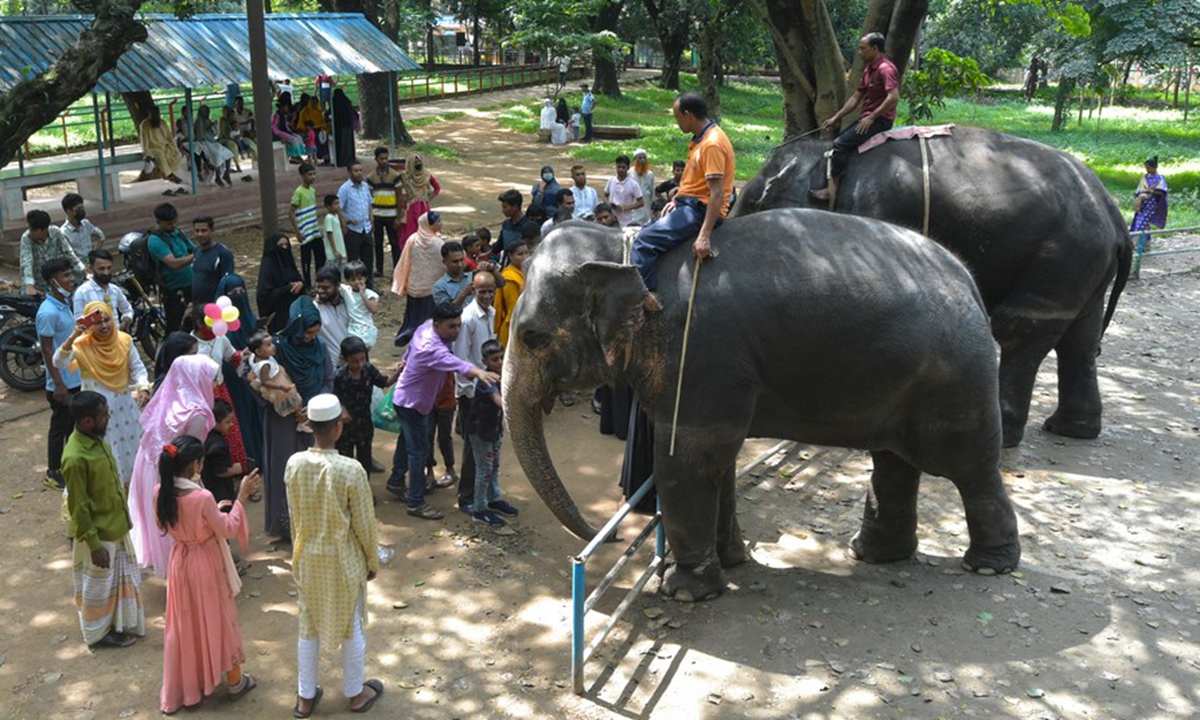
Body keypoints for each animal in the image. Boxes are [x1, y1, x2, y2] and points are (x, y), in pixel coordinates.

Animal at [502, 209, 1021, 602]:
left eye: (533, 337)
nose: (608, 534)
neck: (623, 246)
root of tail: (970, 283)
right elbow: (716, 463)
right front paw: (731, 563)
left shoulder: (699, 355)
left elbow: (684, 461)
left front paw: (682, 591)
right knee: (894, 463)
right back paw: (872, 554)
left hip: (956, 382)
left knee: (967, 467)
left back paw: (988, 567)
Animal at [731, 127, 1133, 447]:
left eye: (752, 202)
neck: (829, 157)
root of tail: (1115, 216)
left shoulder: (875, 208)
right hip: (1084, 269)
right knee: (1080, 339)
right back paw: (1070, 430)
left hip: (1061, 257)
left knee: (1021, 329)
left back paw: (1006, 435)